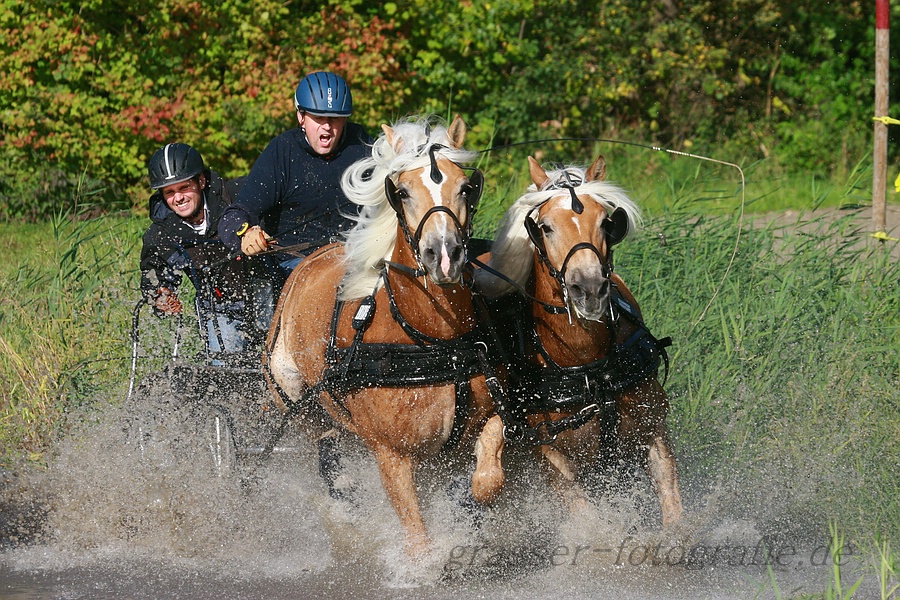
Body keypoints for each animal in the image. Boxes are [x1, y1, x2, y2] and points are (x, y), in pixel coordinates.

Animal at [264, 112, 510, 552]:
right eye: (403, 192)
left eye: (465, 187)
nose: (444, 255)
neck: (432, 340)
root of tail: (311, 257)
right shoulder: (391, 454)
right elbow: (417, 538)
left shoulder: (489, 416)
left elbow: (487, 483)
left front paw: (464, 511)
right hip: (291, 394)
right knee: (325, 447)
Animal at [478, 157, 684, 528]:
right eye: (545, 227)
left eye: (606, 222)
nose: (588, 288)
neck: (589, 366)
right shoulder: (555, 460)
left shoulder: (654, 430)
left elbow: (674, 514)